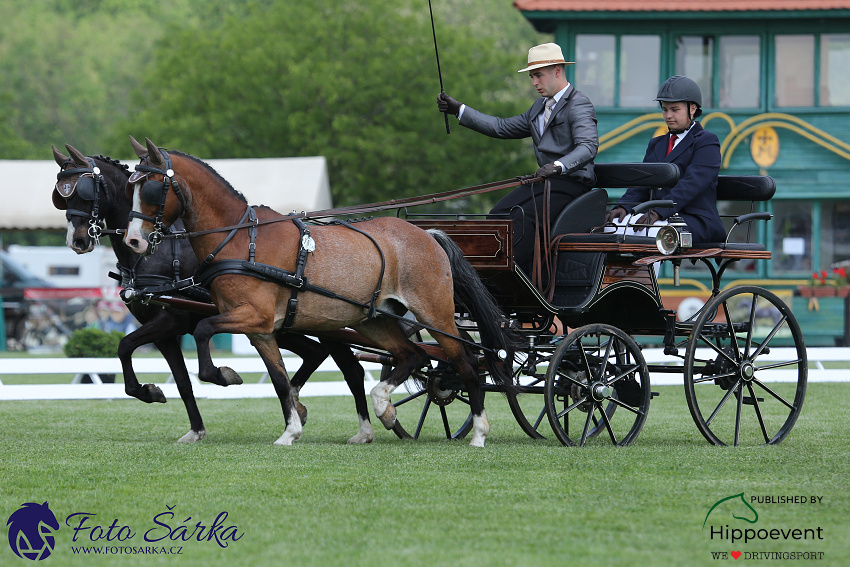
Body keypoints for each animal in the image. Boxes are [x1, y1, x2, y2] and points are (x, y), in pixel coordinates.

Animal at [122, 135, 512, 446]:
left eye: (152, 188)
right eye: (129, 187)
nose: (133, 241)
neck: (240, 240)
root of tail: (427, 233)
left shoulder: (252, 316)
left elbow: (203, 332)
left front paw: (224, 375)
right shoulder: (260, 330)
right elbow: (280, 381)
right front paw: (290, 431)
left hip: (435, 314)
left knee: (464, 363)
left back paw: (478, 432)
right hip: (374, 320)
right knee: (412, 356)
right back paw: (384, 407)